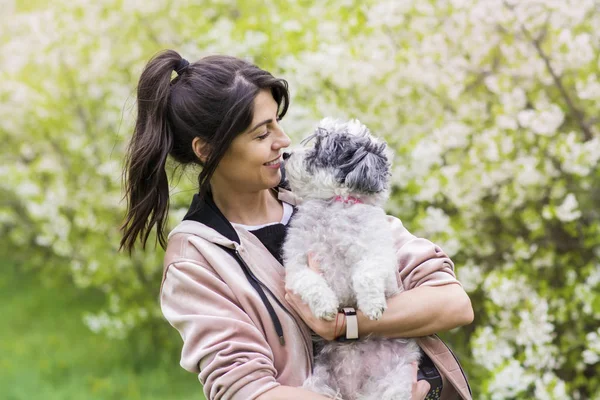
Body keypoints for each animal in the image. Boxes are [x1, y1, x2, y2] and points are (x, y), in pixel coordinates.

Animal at [282, 117, 420, 398]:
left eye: (318, 150)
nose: (285, 154)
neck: (336, 204)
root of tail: (354, 392)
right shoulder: (296, 268)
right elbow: (311, 282)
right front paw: (325, 305)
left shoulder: (382, 264)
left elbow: (366, 274)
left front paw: (372, 305)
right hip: (318, 384)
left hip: (396, 382)